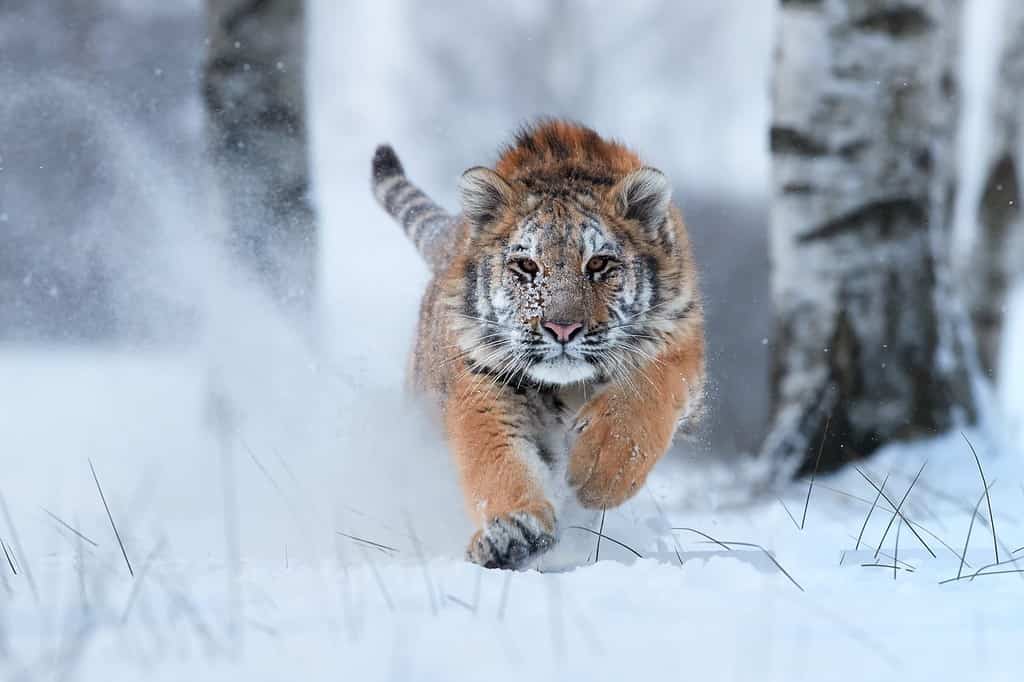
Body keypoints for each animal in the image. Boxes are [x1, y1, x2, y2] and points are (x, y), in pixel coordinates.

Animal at [370, 120, 705, 569]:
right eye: (527, 265)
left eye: (599, 263)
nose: (561, 328)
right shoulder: (484, 376)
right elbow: (496, 457)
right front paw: (513, 532)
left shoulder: (678, 338)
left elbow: (642, 399)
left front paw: (598, 473)